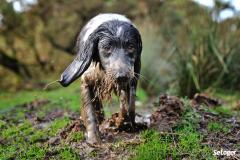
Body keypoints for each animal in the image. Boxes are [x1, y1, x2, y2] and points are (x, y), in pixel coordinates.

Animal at [58, 13, 142, 144]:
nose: (121, 76)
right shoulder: (87, 80)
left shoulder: (131, 79)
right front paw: (94, 139)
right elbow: (90, 112)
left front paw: (122, 123)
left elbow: (128, 105)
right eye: (107, 47)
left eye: (131, 46)